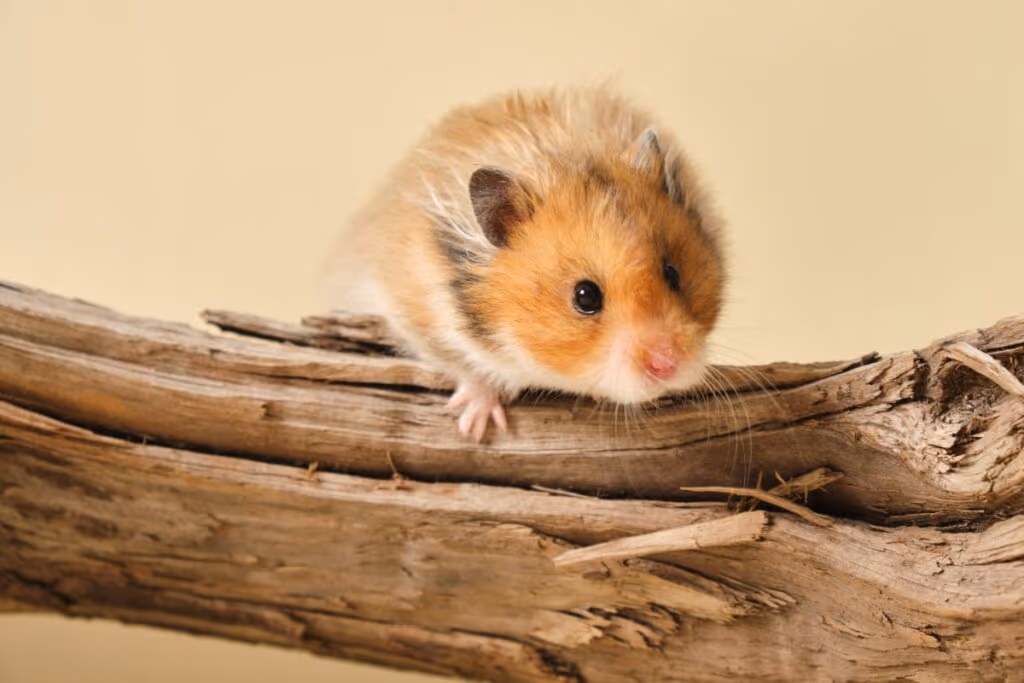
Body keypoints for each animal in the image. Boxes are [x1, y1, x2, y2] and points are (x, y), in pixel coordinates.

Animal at [321, 87, 725, 441]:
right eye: (585, 296)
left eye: (673, 273)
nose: (668, 366)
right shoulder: (418, 315)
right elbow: (466, 368)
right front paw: (477, 426)